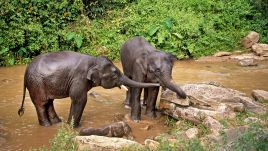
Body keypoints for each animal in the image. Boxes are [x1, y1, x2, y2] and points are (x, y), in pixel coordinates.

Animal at [17, 51, 159, 127]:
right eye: (114, 74)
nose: (158, 83)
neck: (93, 60)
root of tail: (25, 73)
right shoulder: (79, 78)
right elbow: (79, 99)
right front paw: (73, 127)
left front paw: (69, 125)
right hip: (36, 84)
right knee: (41, 104)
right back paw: (47, 125)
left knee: (49, 103)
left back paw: (57, 123)